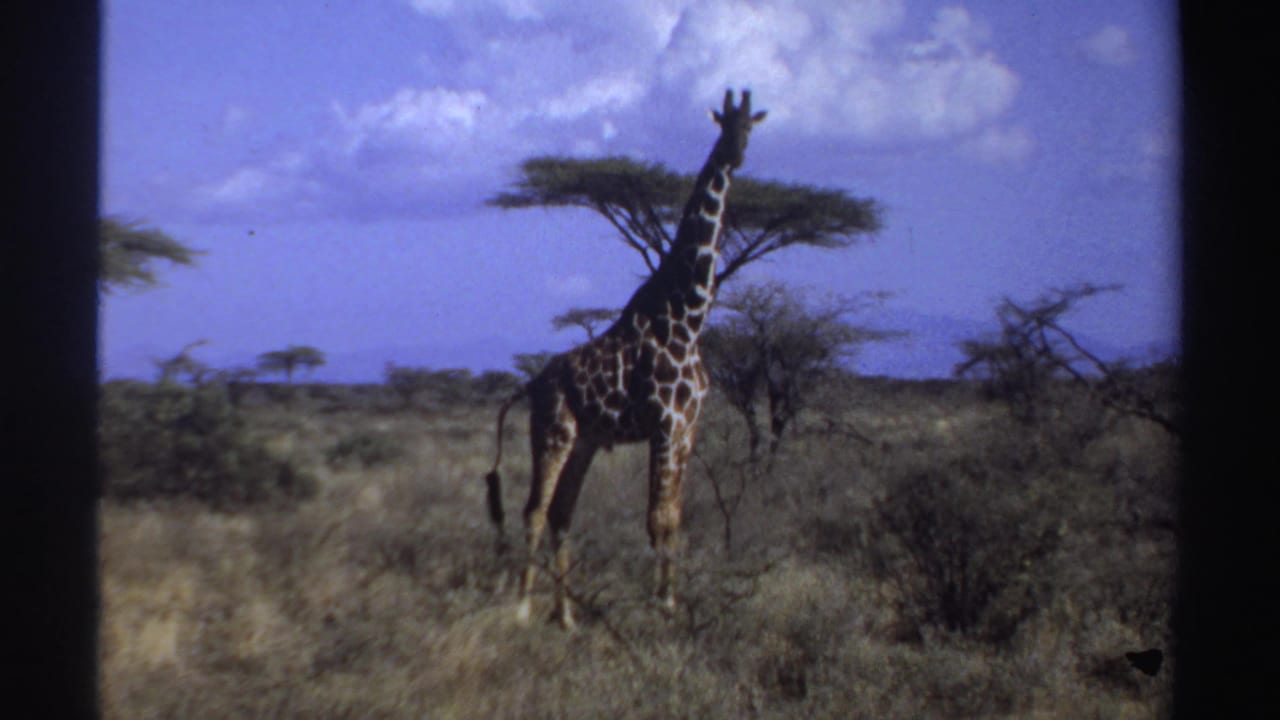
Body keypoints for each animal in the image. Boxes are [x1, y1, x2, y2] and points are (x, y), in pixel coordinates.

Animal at [485, 89, 766, 627]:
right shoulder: (664, 422)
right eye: (723, 124)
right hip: (554, 431)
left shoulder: (687, 426)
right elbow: (655, 519)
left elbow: (674, 519)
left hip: (586, 440)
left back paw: (567, 616)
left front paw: (672, 601)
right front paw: (660, 605)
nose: (736, 155)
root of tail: (531, 383)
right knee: (535, 510)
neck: (688, 316)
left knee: (562, 513)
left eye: (751, 127)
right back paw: (524, 608)